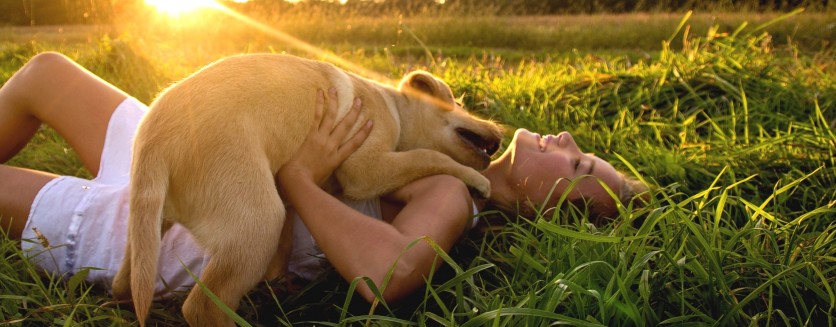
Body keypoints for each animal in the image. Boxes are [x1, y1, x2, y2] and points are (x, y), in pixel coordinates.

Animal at [112, 53, 502, 326]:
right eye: (458, 103)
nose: (500, 130)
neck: (392, 106)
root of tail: (153, 144)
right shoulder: (365, 169)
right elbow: (429, 154)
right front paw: (477, 180)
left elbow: (286, 243)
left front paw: (278, 283)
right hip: (259, 221)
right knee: (202, 307)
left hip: (150, 226)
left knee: (126, 282)